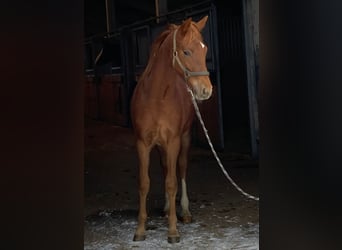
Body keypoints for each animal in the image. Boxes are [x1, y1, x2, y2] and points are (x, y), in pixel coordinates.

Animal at [130, 15, 212, 242]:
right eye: (186, 52)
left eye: (205, 50)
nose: (206, 90)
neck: (156, 98)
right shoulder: (142, 143)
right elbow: (144, 183)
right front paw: (140, 229)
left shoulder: (174, 141)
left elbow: (172, 182)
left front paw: (173, 230)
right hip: (160, 146)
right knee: (166, 167)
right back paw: (168, 207)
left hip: (184, 139)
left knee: (181, 168)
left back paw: (184, 211)